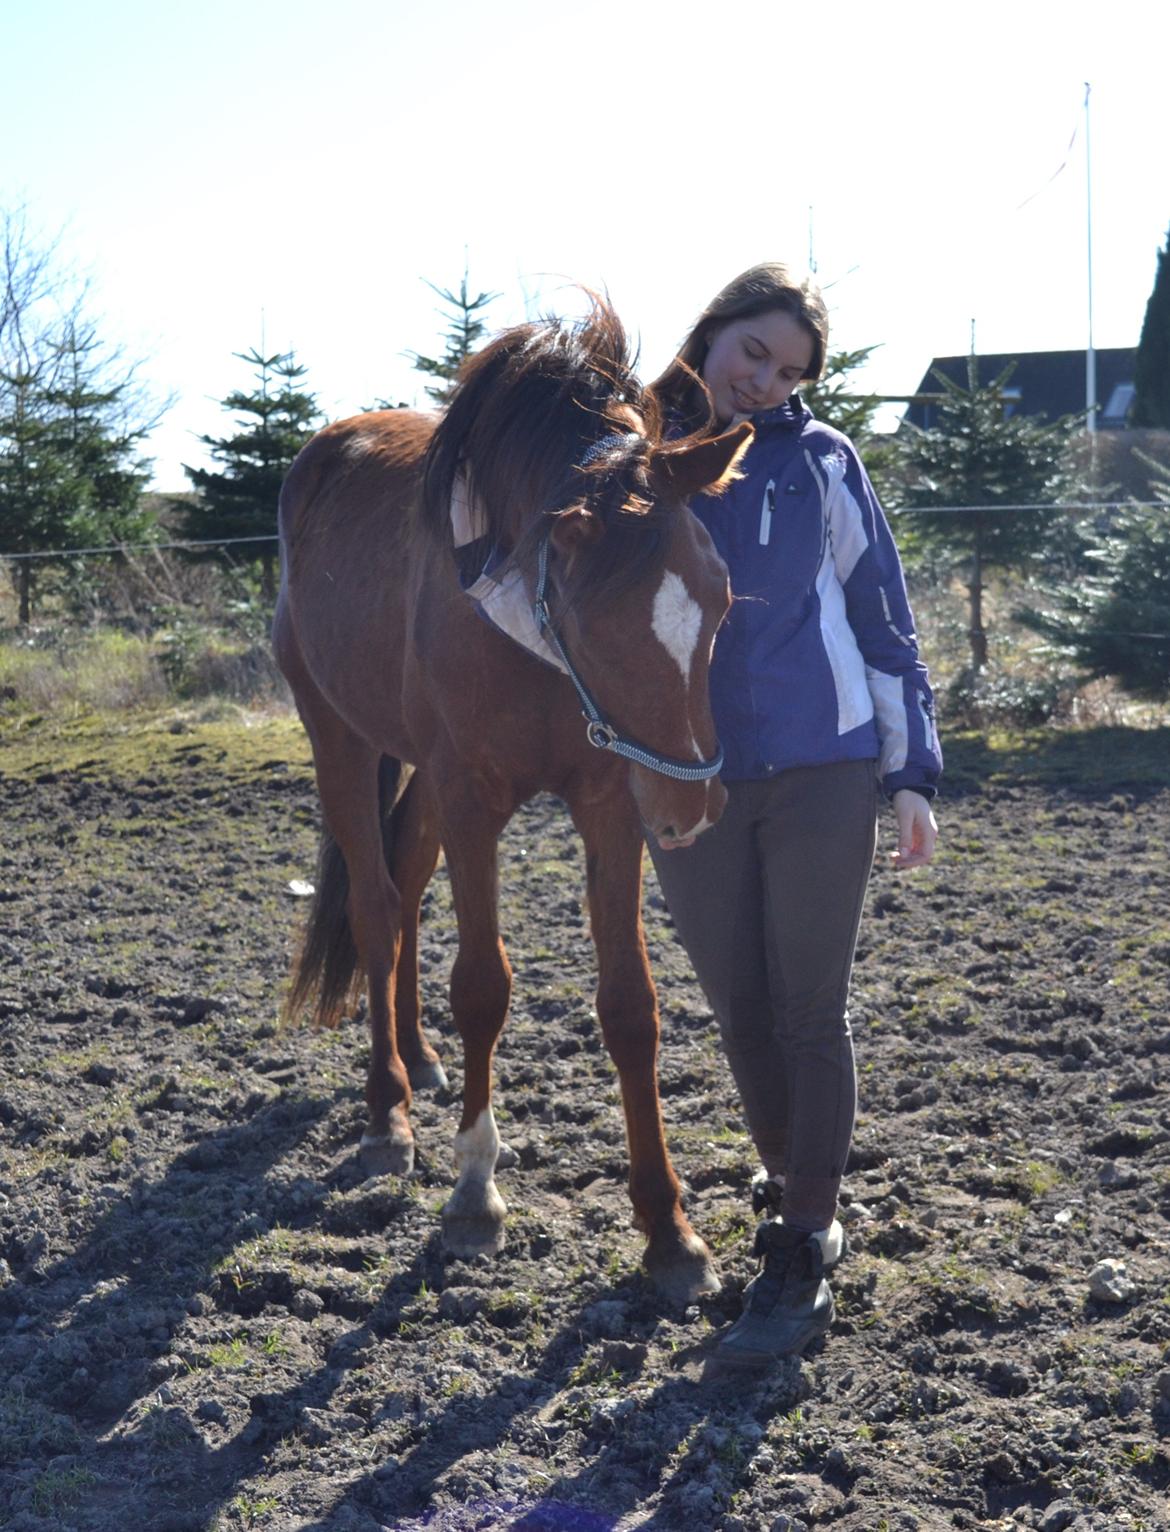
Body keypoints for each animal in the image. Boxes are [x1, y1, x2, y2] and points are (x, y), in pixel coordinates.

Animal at [272, 301, 750, 1305]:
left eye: (722, 599)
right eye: (600, 620)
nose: (691, 808)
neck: (525, 629)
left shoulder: (609, 800)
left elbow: (630, 1005)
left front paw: (670, 1232)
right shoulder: (473, 800)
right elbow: (483, 986)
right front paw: (473, 1195)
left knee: (408, 889)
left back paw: (418, 1060)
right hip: (341, 739)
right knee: (378, 910)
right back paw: (388, 1114)